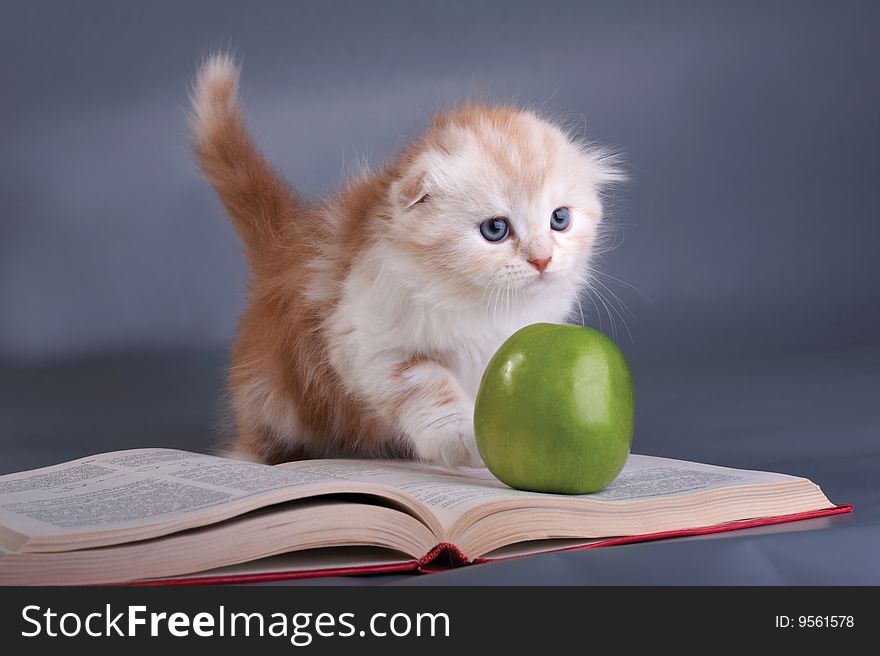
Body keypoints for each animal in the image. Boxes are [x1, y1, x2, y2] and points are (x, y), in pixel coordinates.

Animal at [189, 55, 624, 466]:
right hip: (272, 394)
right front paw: (463, 440)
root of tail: (286, 246)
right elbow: (425, 384)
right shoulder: (364, 339)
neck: (483, 305)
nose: (542, 259)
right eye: (496, 229)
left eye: (559, 219)